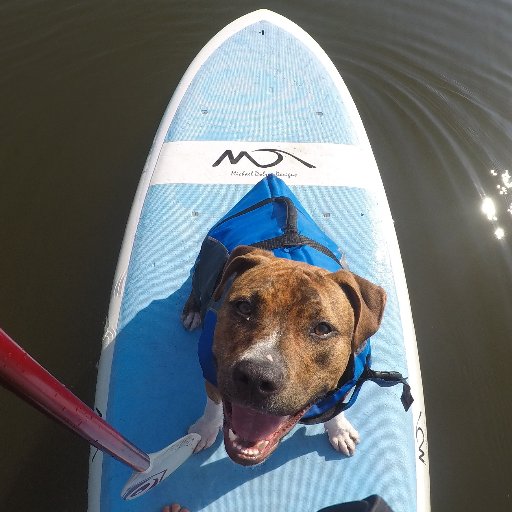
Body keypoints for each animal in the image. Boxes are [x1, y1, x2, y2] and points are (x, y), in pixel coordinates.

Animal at [182, 245, 386, 468]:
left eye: (323, 329)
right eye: (244, 307)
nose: (256, 377)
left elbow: (337, 408)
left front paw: (339, 429)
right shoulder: (211, 372)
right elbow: (213, 404)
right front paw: (204, 430)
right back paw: (192, 311)